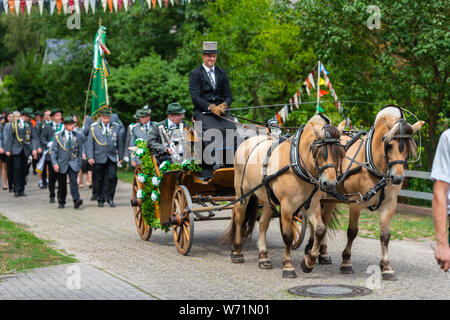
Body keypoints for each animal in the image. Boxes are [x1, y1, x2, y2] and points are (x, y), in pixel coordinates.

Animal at [221, 115, 344, 278]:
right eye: (320, 151)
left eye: (341, 152)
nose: (329, 184)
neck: (296, 163)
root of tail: (246, 142)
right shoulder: (287, 206)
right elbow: (288, 235)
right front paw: (288, 266)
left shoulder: (312, 204)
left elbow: (319, 230)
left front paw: (308, 262)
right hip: (242, 192)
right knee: (239, 217)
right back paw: (237, 252)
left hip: (267, 198)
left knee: (263, 224)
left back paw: (263, 257)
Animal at [316, 105, 426, 280]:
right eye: (389, 145)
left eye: (409, 147)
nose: (397, 178)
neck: (373, 163)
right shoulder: (356, 201)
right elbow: (352, 232)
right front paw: (346, 262)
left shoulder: (389, 204)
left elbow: (385, 235)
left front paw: (386, 267)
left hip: (331, 198)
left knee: (324, 222)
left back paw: (323, 253)